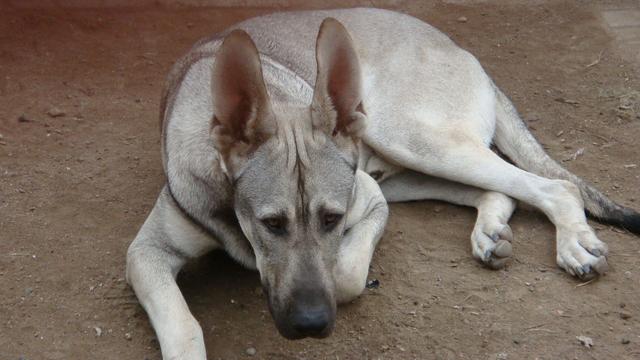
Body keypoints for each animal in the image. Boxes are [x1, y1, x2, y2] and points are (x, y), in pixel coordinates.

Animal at [126, 7, 640, 358]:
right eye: (271, 224)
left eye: (332, 219)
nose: (311, 323)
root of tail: (459, 47)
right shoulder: (145, 253)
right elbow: (182, 326)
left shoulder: (367, 200)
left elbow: (345, 275)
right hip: (407, 165)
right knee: (504, 189)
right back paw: (491, 231)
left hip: (413, 140)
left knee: (554, 187)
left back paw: (574, 245)